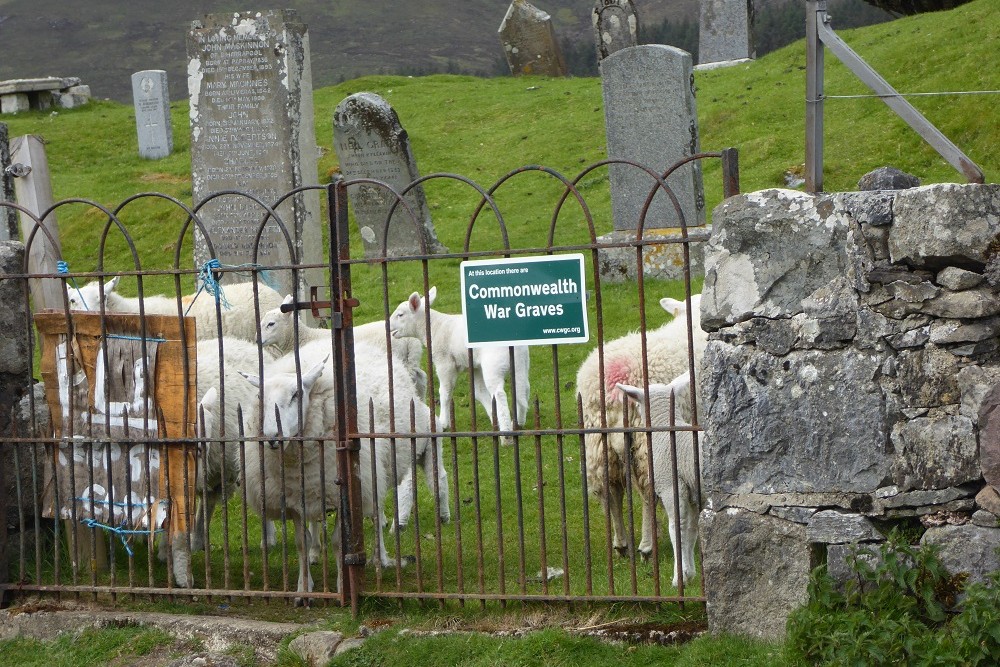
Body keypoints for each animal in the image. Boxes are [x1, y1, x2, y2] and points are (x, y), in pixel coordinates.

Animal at [241, 336, 434, 604]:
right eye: (260, 396)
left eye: (296, 394)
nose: (271, 437)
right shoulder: (294, 498)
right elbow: (301, 542)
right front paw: (303, 589)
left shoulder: (346, 494)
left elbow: (338, 543)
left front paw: (344, 585)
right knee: (315, 523)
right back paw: (315, 553)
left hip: (375, 474)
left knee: (376, 513)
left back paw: (380, 558)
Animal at [388, 286, 532, 444]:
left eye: (400, 315)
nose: (387, 326)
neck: (433, 327)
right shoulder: (474, 366)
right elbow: (479, 392)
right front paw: (493, 418)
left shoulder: (445, 363)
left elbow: (445, 392)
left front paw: (444, 422)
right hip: (521, 362)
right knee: (523, 389)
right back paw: (518, 422)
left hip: (493, 365)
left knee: (499, 394)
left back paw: (506, 435)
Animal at [576, 292, 708, 560]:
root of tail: (614, 388)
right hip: (644, 442)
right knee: (648, 493)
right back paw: (646, 546)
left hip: (598, 444)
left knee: (610, 491)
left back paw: (621, 543)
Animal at [616, 378, 704, 588]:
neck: (665, 432)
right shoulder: (692, 491)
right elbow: (692, 530)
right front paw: (690, 573)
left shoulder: (671, 486)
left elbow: (677, 529)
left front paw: (679, 577)